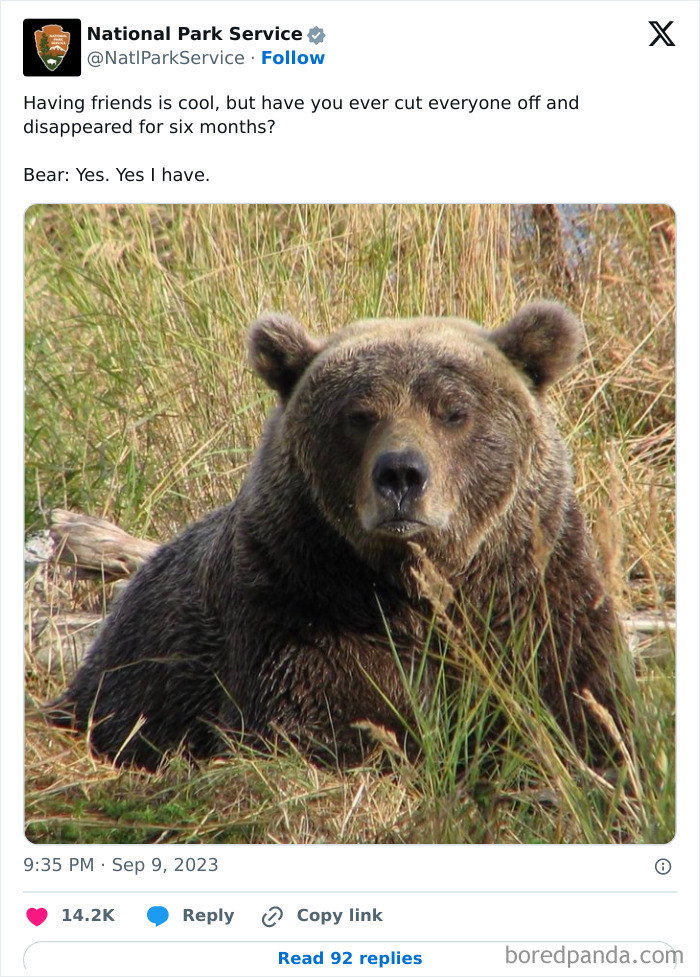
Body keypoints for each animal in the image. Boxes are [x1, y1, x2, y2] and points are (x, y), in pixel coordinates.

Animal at [50, 302, 629, 770]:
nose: (401, 474)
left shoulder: (537, 599)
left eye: (453, 411)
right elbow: (325, 722)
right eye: (359, 415)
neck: (413, 589)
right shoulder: (302, 605)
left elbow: (580, 704)